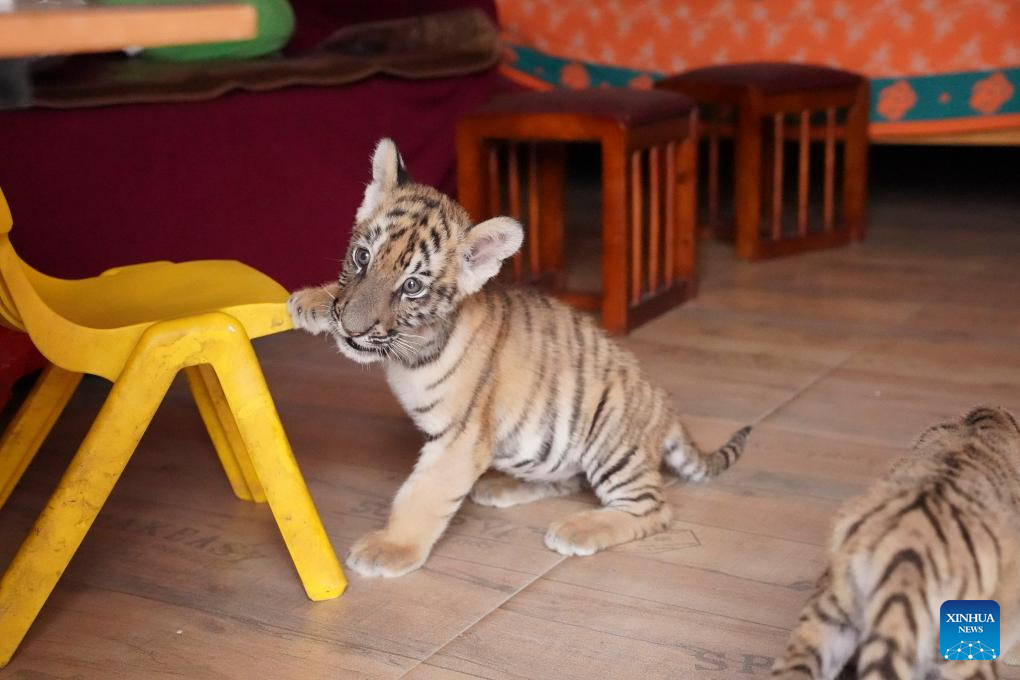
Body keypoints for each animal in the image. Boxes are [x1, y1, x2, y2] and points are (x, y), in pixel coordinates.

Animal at [287, 138, 751, 578]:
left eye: (413, 286)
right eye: (362, 257)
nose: (351, 329)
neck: (411, 348)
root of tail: (665, 407)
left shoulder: (459, 438)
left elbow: (422, 496)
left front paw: (388, 549)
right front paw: (311, 301)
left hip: (612, 441)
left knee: (653, 508)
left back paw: (577, 529)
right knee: (568, 480)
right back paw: (499, 488)